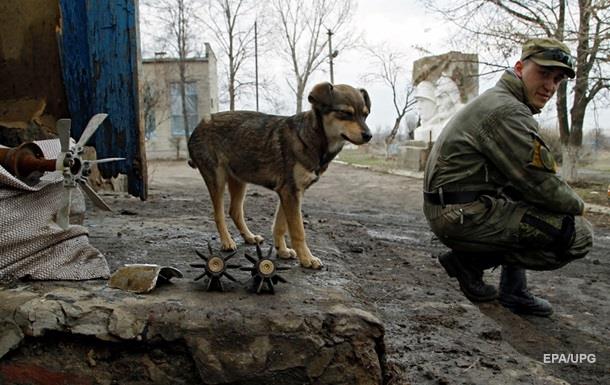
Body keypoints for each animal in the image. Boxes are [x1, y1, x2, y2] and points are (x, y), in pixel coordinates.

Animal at [188, 82, 370, 268]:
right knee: (218, 214)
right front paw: (307, 258)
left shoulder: (291, 192)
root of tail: (198, 126)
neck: (311, 137)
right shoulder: (290, 192)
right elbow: (298, 230)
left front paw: (282, 251)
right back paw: (226, 241)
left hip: (239, 179)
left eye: (365, 115)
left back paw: (249, 237)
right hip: (217, 179)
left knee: (235, 211)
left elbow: (280, 226)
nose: (369, 136)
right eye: (346, 113)